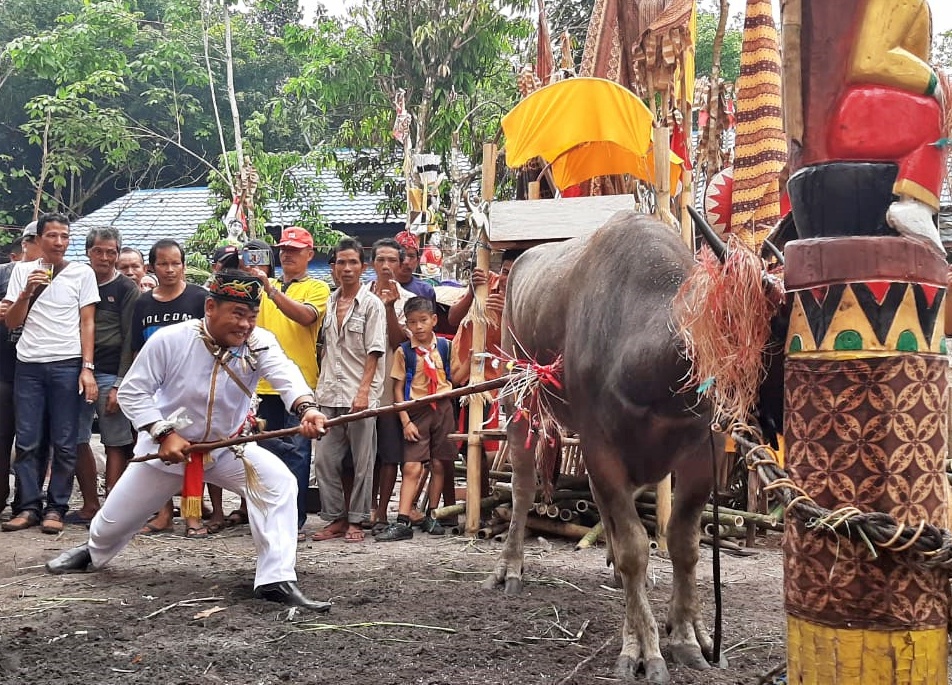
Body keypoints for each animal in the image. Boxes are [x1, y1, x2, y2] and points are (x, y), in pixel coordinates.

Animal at [484, 211, 728, 680]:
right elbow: (635, 546)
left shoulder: (701, 452)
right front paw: (643, 648)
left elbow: (684, 543)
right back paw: (510, 568)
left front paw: (690, 635)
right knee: (523, 486)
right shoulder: (601, 446)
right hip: (518, 398)